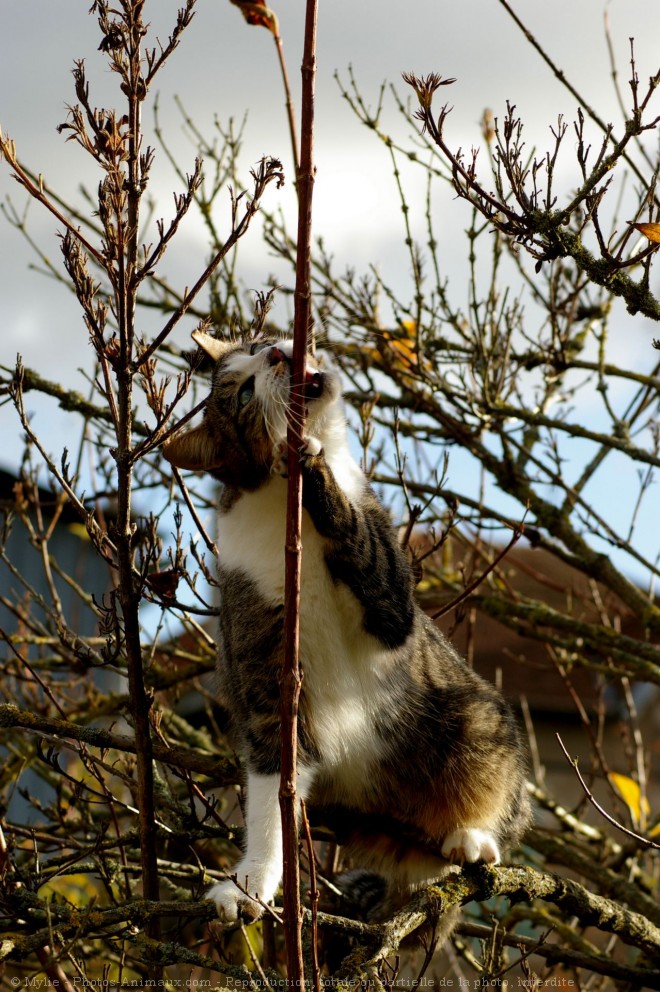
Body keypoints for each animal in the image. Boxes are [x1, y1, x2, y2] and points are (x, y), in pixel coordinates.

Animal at [164, 332, 532, 924]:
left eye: (259, 343)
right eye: (242, 394)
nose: (277, 353)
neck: (289, 513)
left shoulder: (391, 601)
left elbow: (370, 563)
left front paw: (314, 468)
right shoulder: (268, 678)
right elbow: (272, 794)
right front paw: (251, 883)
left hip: (476, 715)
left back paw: (471, 835)